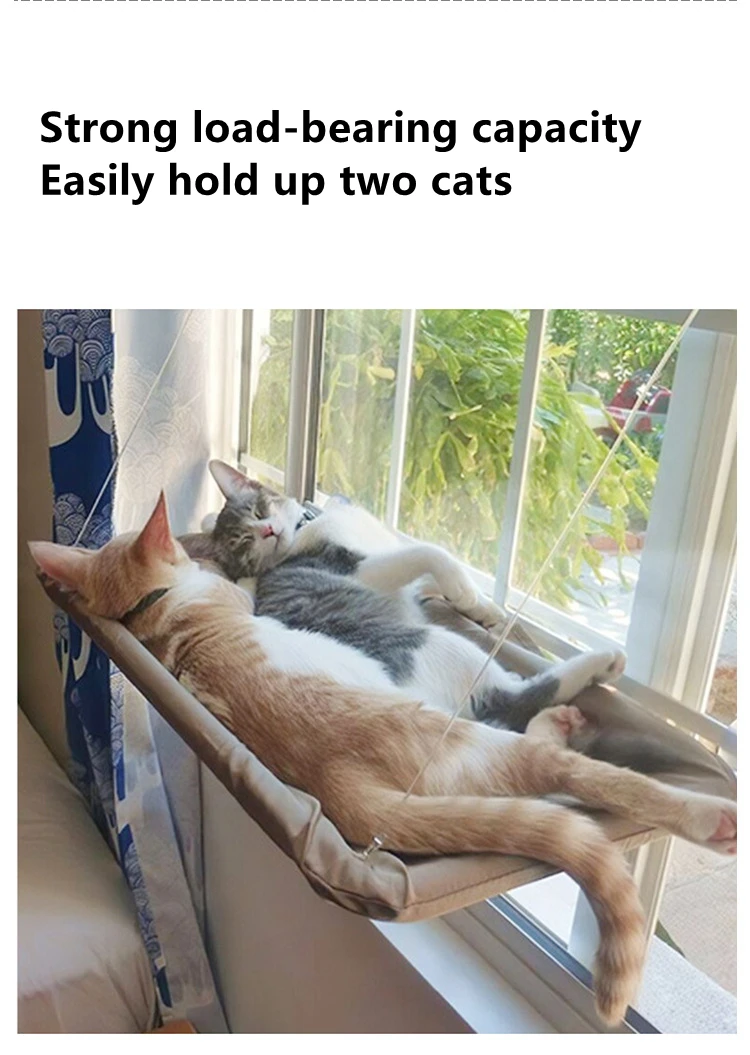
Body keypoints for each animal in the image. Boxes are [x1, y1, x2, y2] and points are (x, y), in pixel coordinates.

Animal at [31, 493, 737, 1026]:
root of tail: (346, 795)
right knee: (538, 733)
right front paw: (477, 598)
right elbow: (433, 559)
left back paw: (563, 720)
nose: (273, 525)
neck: (154, 610)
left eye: (257, 509)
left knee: (530, 732)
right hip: (456, 677)